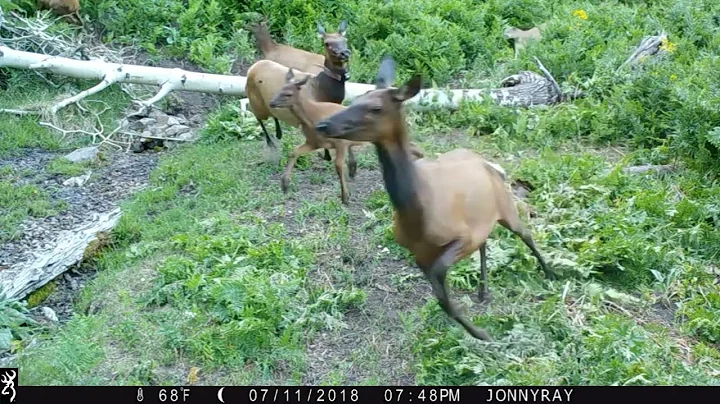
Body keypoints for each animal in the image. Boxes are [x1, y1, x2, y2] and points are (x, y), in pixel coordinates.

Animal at [246, 19, 351, 161]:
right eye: (326, 43)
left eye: (345, 39)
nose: (345, 53)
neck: (323, 91)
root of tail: (252, 68)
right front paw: (325, 155)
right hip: (255, 100)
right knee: (255, 113)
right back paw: (271, 142)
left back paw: (278, 133)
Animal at [268, 67, 425, 204]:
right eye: (279, 90)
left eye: (288, 94)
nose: (272, 103)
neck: (312, 117)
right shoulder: (313, 142)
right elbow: (293, 152)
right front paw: (285, 185)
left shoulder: (340, 142)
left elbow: (338, 165)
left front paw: (345, 197)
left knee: (416, 149)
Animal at [314, 56, 556, 341]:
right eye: (355, 99)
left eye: (375, 108)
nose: (322, 124)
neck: (418, 215)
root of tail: (487, 163)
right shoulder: (420, 253)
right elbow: (440, 295)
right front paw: (475, 328)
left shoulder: (462, 237)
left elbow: (442, 288)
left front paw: (481, 333)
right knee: (486, 242)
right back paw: (483, 291)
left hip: (506, 206)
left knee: (525, 234)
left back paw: (551, 273)